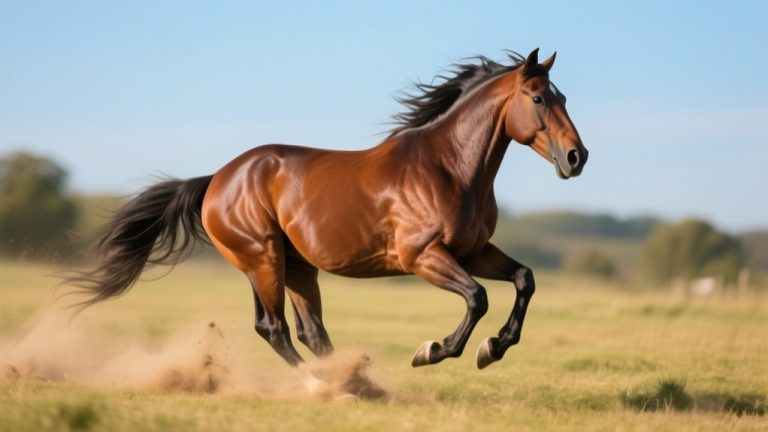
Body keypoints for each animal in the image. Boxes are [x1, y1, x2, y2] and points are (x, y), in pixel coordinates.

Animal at [65, 49, 587, 393]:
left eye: (563, 97)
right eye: (539, 99)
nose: (577, 157)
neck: (448, 168)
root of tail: (217, 179)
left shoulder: (473, 251)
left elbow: (524, 279)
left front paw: (493, 348)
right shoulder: (423, 257)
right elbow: (477, 299)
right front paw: (433, 351)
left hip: (297, 267)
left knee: (309, 331)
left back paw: (356, 384)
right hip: (263, 260)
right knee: (273, 328)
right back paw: (322, 386)